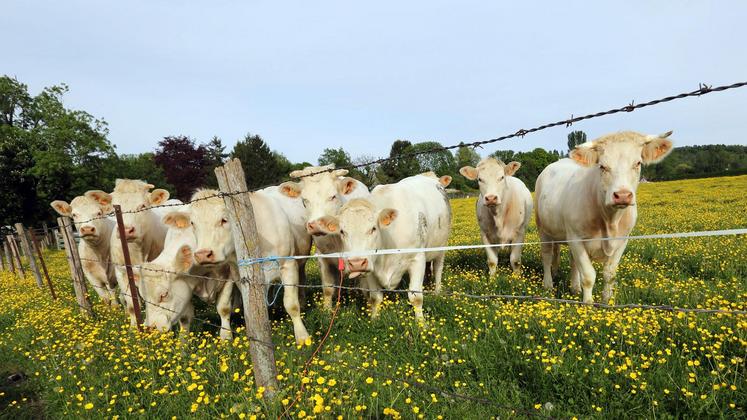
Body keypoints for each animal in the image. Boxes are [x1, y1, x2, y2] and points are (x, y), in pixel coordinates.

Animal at [86, 180, 171, 324]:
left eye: (143, 206)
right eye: (114, 209)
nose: (126, 230)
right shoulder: (121, 273)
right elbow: (131, 305)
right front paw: (134, 326)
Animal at [191, 189, 312, 342]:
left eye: (224, 220)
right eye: (193, 223)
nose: (203, 254)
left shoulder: (288, 265)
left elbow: (292, 305)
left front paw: (302, 336)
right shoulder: (237, 274)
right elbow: (229, 307)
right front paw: (226, 336)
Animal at [278, 164, 372, 308]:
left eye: (333, 196)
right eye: (304, 200)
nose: (316, 225)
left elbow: (366, 287)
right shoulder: (323, 257)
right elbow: (327, 288)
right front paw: (327, 310)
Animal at [314, 174, 450, 318]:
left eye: (373, 228)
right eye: (342, 231)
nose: (356, 263)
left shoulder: (417, 259)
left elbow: (416, 297)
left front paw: (421, 322)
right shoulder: (370, 266)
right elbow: (375, 297)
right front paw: (374, 319)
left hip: (441, 247)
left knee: (438, 268)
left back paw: (437, 291)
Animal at [536, 130, 676, 304]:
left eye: (638, 163)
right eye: (602, 166)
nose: (622, 195)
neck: (610, 221)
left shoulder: (622, 240)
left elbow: (610, 274)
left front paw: (607, 302)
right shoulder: (576, 238)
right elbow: (588, 275)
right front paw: (588, 304)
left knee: (572, 261)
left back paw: (575, 288)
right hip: (543, 229)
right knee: (547, 256)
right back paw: (548, 285)